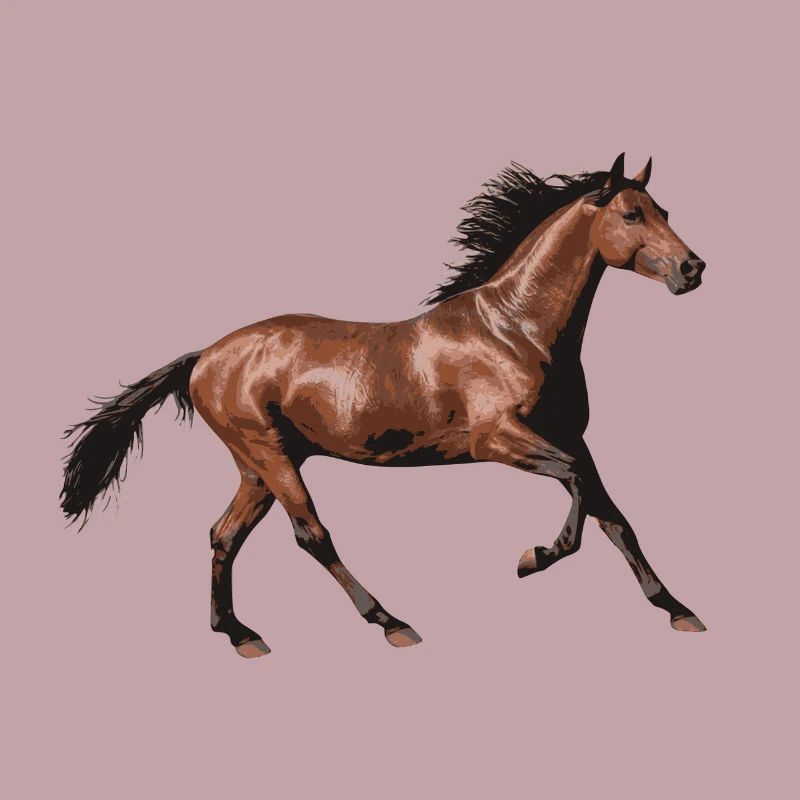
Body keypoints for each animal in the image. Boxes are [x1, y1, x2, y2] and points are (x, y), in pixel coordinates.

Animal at [61, 153, 708, 658]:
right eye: (631, 214)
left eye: (665, 211)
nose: (693, 268)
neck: (514, 331)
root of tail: (204, 357)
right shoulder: (498, 439)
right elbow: (576, 493)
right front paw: (533, 557)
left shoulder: (573, 437)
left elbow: (613, 515)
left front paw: (678, 610)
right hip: (269, 455)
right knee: (310, 534)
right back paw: (391, 623)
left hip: (258, 465)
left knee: (224, 534)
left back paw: (240, 634)